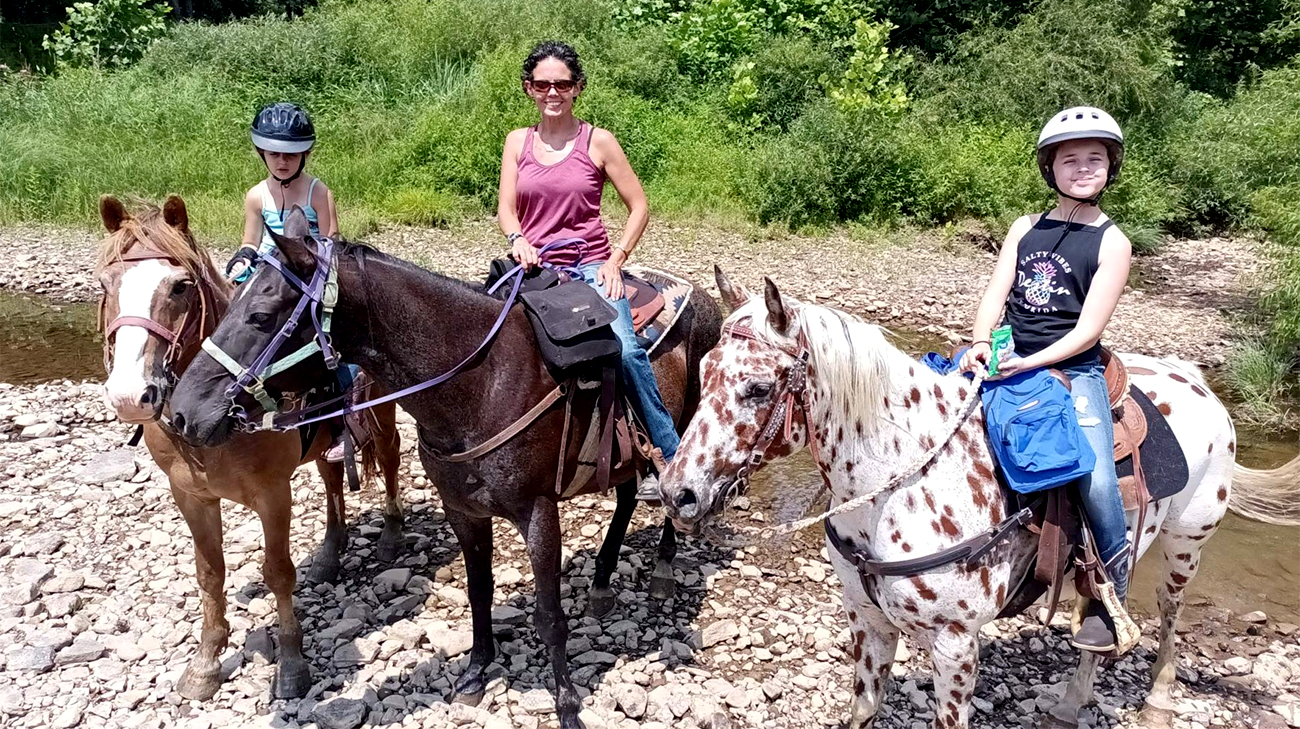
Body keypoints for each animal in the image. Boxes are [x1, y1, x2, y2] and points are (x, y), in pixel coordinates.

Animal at [96, 194, 403, 701]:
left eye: (180, 287)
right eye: (105, 284)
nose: (129, 395)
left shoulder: (273, 494)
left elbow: (277, 571)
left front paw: (293, 665)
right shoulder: (190, 496)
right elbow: (209, 573)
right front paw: (205, 663)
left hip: (384, 414)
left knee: (392, 458)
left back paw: (393, 535)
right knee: (332, 476)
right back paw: (330, 550)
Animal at [660, 268, 1300, 727]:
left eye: (757, 387)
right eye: (705, 366)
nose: (676, 491)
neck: (902, 481)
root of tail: (1196, 380)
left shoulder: (954, 645)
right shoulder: (867, 621)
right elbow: (863, 708)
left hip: (1186, 543)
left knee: (1169, 612)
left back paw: (1159, 699)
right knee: (1101, 610)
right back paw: (1070, 703)